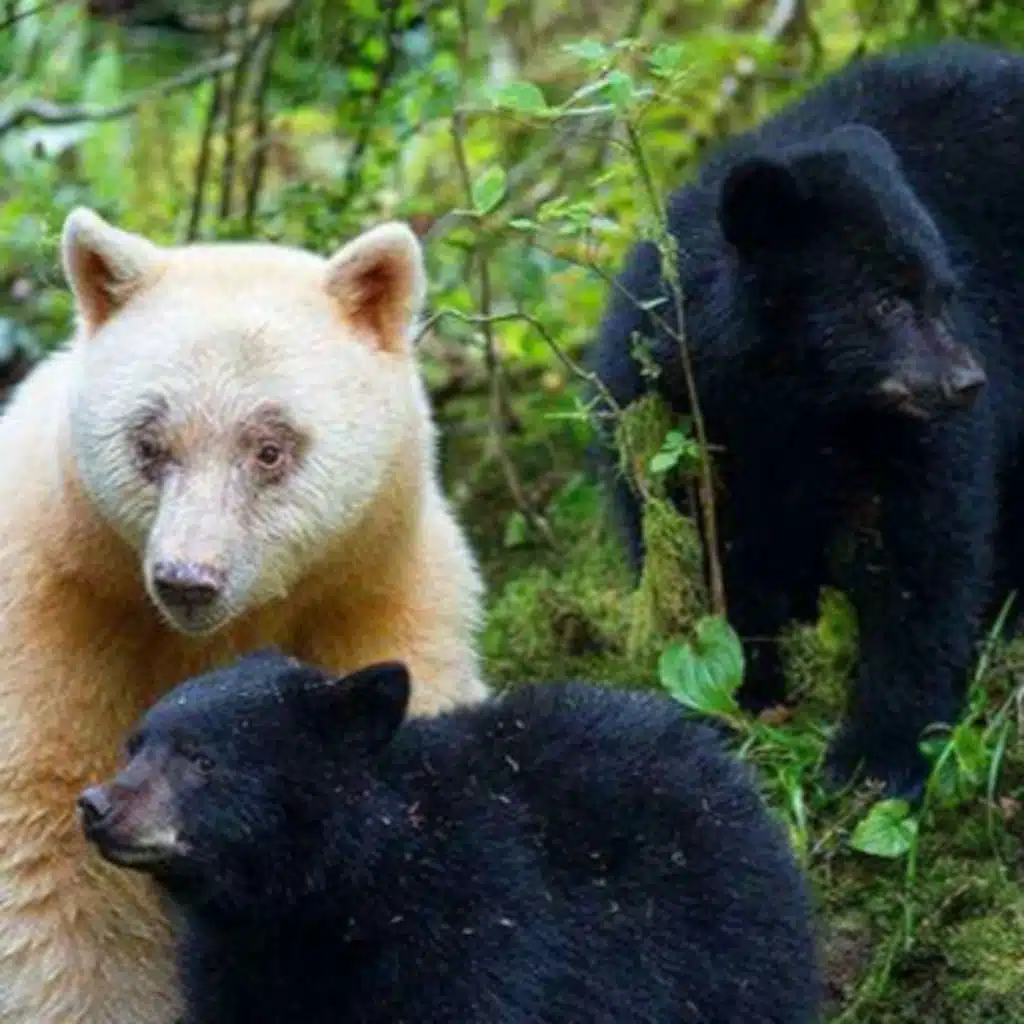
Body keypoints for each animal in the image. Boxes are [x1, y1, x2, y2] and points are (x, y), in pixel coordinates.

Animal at [0, 209, 486, 1024]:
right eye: (148, 443)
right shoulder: (55, 602)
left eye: (270, 448)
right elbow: (53, 854)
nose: (188, 580)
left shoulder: (373, 593)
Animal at [79, 648, 821, 1024]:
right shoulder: (240, 968)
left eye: (201, 759)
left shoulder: (476, 934)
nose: (96, 805)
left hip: (725, 956)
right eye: (135, 745)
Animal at [587, 40, 1024, 801]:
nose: (967, 382)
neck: (795, 400)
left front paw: (877, 752)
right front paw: (744, 701)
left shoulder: (906, 432)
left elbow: (924, 550)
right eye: (885, 301)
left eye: (943, 292)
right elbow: (700, 551)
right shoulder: (666, 409)